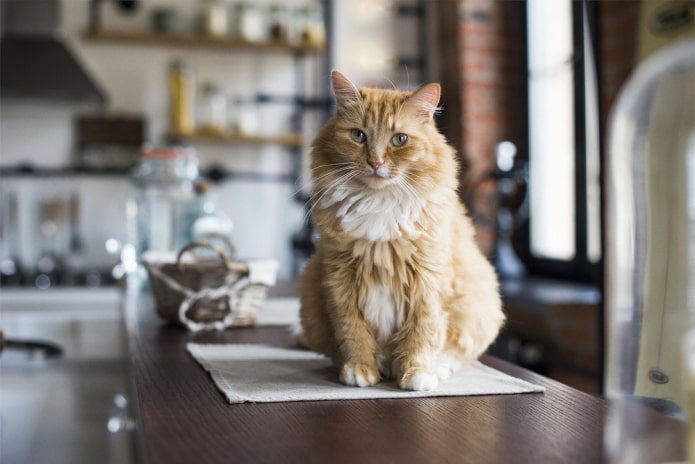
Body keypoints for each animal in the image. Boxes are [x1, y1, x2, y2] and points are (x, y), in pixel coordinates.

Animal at [300, 71, 506, 392]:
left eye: (399, 140)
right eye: (358, 135)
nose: (375, 162)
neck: (378, 202)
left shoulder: (428, 281)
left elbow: (422, 333)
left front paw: (417, 374)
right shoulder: (339, 279)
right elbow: (352, 331)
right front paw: (359, 369)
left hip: (480, 302)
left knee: (457, 355)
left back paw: (435, 369)